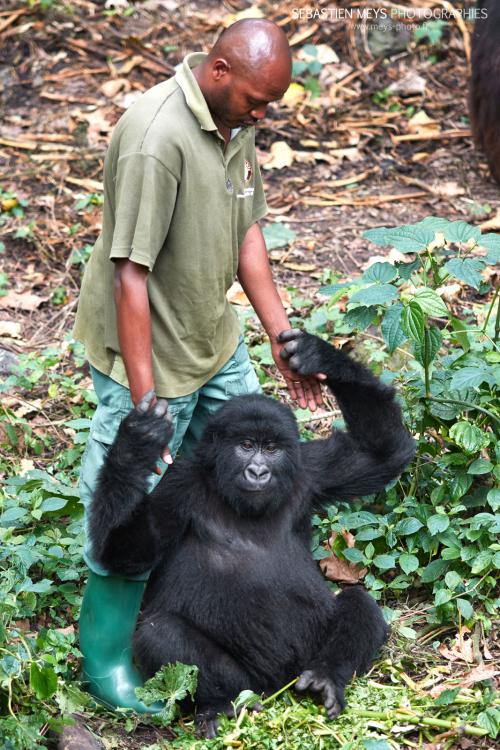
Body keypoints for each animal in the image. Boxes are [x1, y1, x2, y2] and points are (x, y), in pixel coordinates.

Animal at [89, 330, 414, 740]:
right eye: (246, 446)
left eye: (271, 448)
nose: (258, 472)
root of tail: (280, 686)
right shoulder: (179, 486)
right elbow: (125, 553)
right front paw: (135, 445)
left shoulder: (311, 470)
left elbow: (383, 454)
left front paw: (319, 355)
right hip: (252, 682)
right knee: (160, 634)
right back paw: (220, 704)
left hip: (303, 660)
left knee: (360, 602)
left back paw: (326, 676)